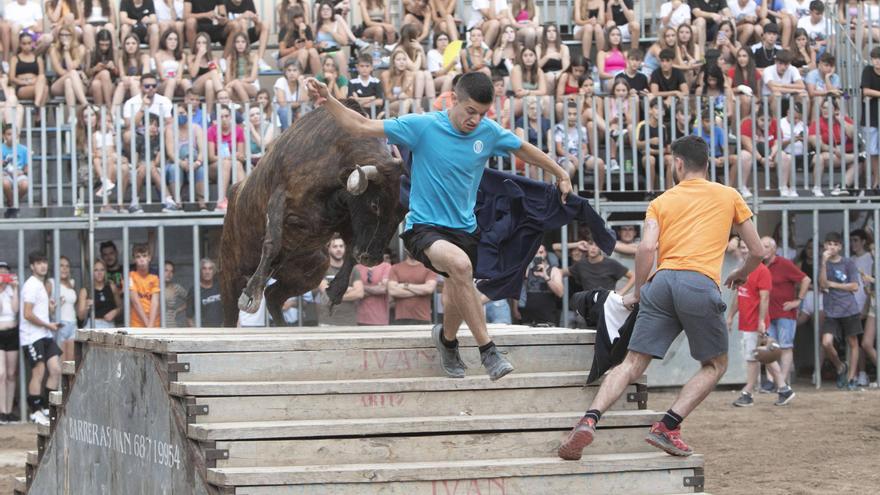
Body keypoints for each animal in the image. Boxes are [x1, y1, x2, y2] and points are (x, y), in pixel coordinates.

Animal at [218, 100, 404, 326]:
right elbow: (272, 243)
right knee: (230, 314)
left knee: (273, 296)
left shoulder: (345, 219)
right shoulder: (280, 199)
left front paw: (335, 292)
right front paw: (251, 295)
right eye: (375, 204)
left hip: (313, 268)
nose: (373, 259)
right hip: (229, 272)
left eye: (400, 214)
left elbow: (350, 252)